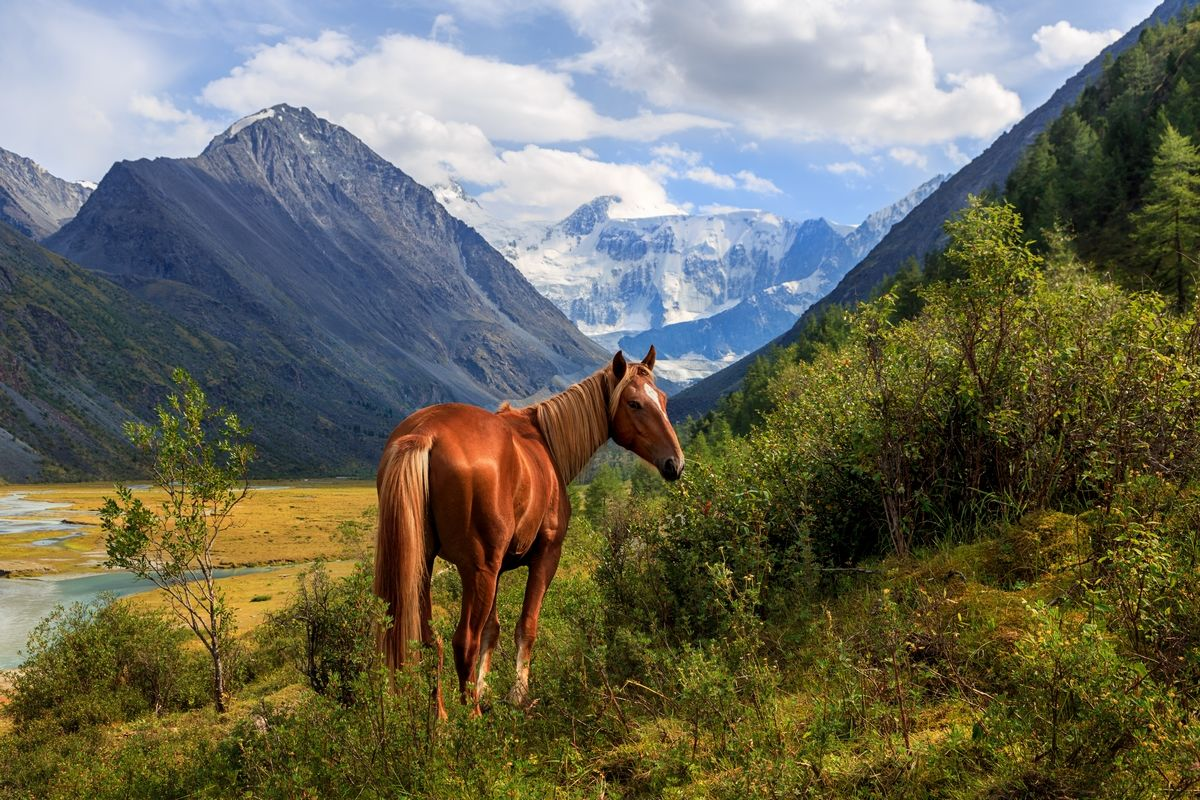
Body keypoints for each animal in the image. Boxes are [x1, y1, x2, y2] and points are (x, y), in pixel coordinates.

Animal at [369, 347, 681, 714]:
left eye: (663, 399)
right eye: (634, 403)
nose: (675, 463)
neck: (545, 441)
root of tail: (425, 433)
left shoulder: (496, 569)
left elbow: (493, 630)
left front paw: (484, 690)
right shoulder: (544, 557)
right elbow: (526, 627)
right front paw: (517, 694)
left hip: (426, 564)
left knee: (432, 641)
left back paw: (441, 717)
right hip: (478, 570)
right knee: (463, 641)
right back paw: (469, 718)